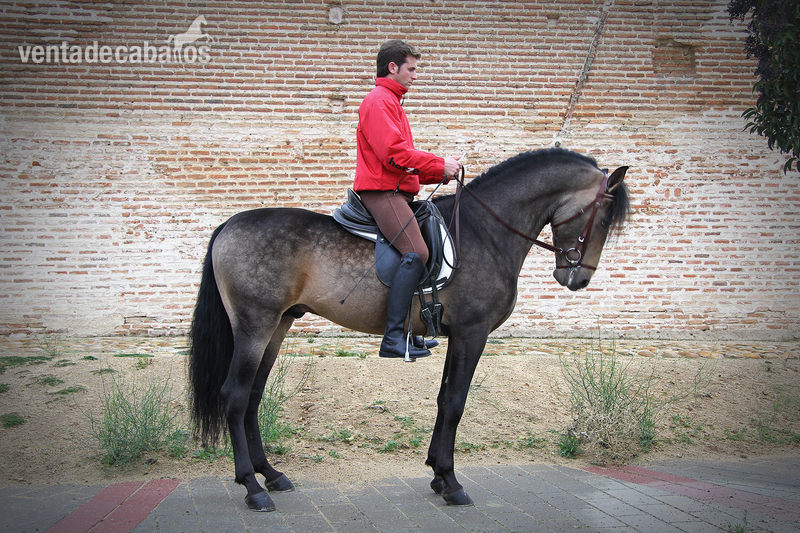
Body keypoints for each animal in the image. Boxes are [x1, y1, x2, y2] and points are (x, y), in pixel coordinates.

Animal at [188, 148, 630, 511]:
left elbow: (443, 401)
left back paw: (271, 475)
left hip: (277, 326)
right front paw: (451, 482)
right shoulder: (473, 333)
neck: (485, 231)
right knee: (235, 396)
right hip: (255, 325)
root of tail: (229, 224)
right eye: (603, 217)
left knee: (252, 396)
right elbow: (456, 403)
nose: (578, 279)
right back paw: (252, 487)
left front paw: (437, 473)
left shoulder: (457, 335)